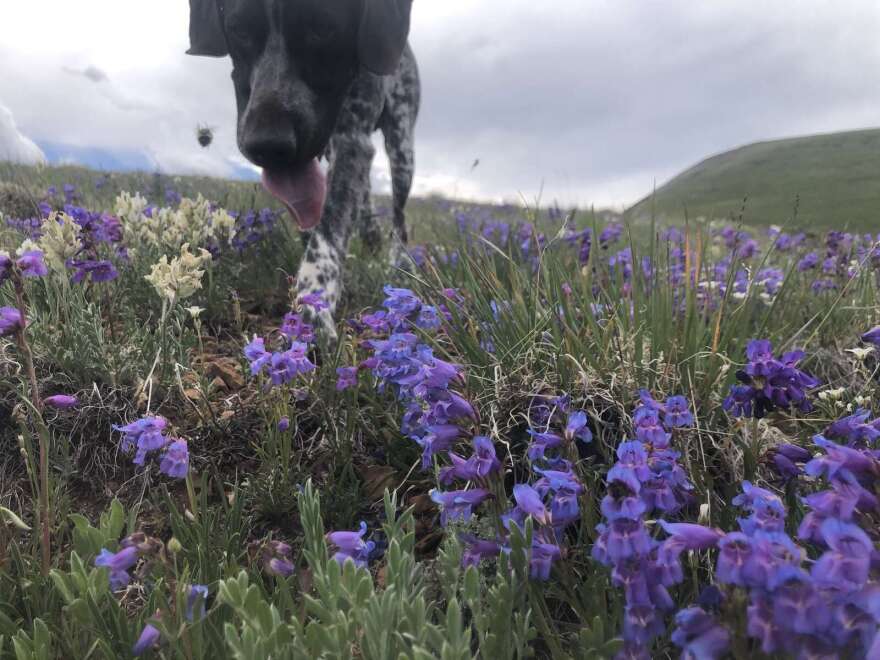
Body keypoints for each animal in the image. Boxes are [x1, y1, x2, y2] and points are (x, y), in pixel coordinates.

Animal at [186, 0, 420, 338]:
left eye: (323, 27)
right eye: (238, 30)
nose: (268, 145)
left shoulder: (352, 141)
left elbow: (329, 227)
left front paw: (313, 305)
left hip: (402, 150)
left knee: (399, 218)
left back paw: (398, 264)